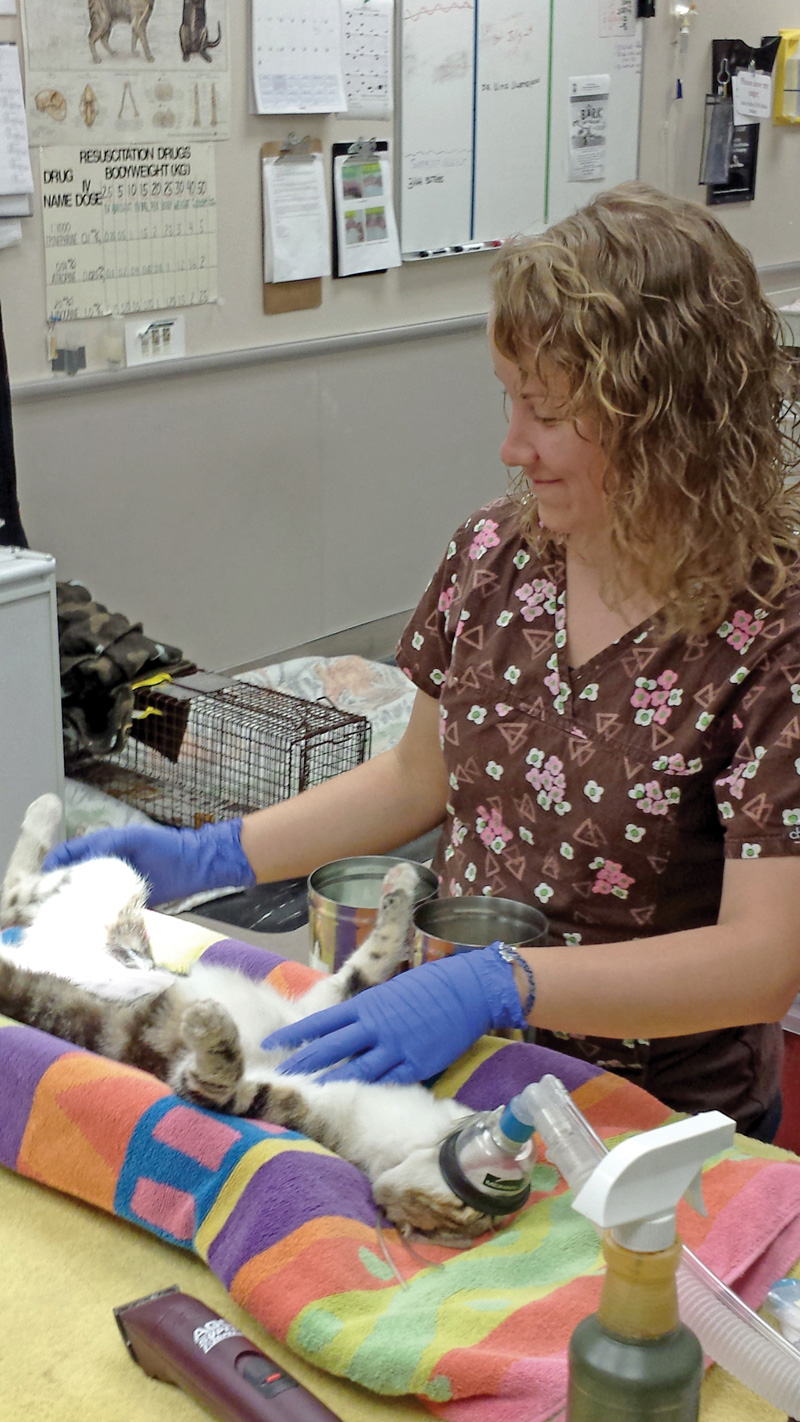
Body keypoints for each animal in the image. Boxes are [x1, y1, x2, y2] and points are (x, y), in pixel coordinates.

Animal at [0, 802, 494, 1245]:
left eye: (467, 1208)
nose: (497, 1124)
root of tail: (36, 944)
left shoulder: (234, 1094)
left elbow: (219, 1074)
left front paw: (210, 1022)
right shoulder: (321, 1009)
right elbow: (372, 961)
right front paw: (400, 887)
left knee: (15, 902)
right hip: (114, 878)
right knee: (30, 887)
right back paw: (52, 814)